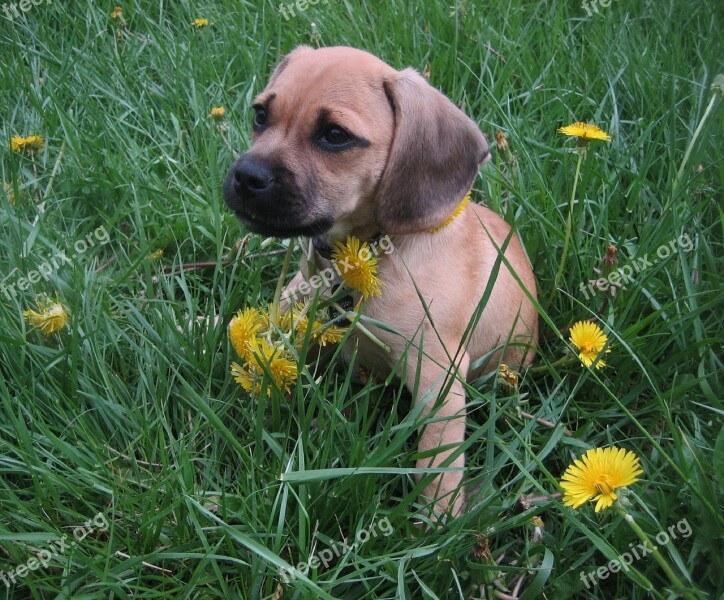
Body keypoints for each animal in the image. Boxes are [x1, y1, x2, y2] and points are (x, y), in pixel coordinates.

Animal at [223, 47, 540, 516]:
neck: (363, 254)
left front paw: (437, 517)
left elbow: (437, 456)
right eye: (261, 115)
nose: (246, 176)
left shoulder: (438, 376)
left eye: (335, 135)